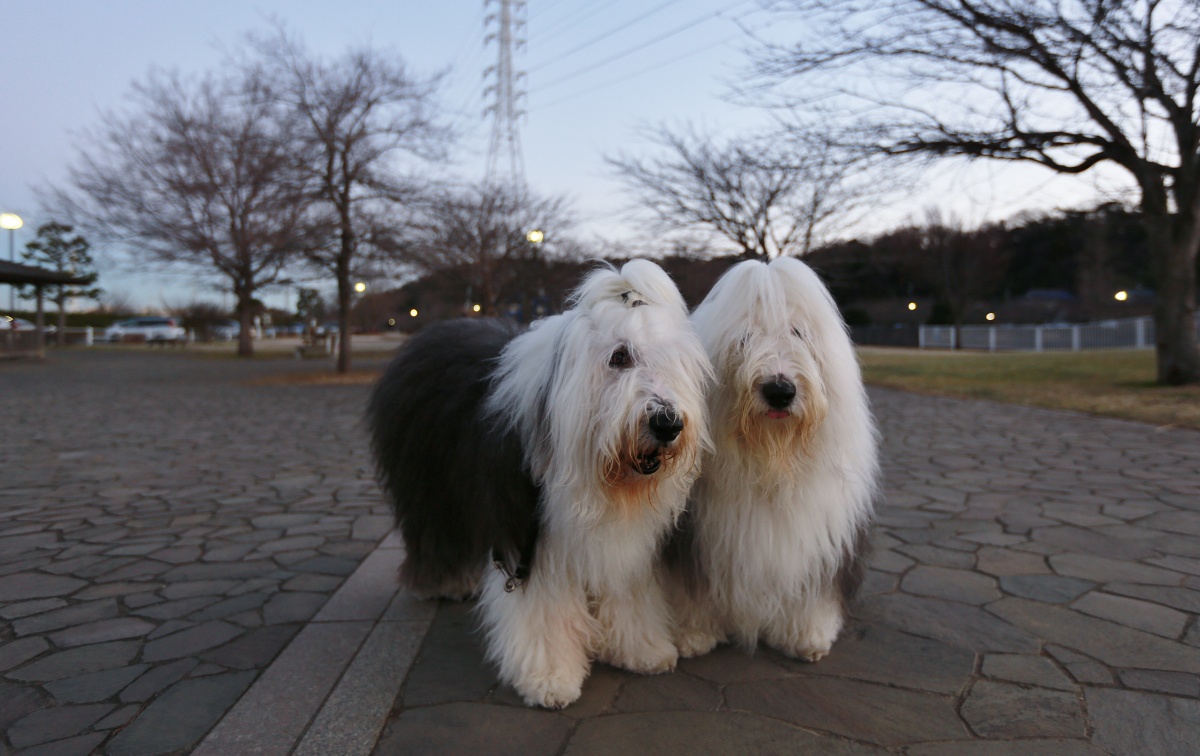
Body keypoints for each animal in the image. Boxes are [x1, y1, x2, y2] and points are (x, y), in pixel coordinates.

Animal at [367, 259, 711, 708]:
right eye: (619, 356)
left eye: (670, 360)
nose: (667, 423)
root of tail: (425, 336)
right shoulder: (528, 536)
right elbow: (542, 607)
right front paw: (549, 678)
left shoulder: (622, 545)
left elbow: (627, 591)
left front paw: (642, 650)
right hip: (430, 486)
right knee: (435, 532)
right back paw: (442, 583)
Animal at [665, 256, 878, 663]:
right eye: (744, 339)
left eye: (799, 333)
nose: (780, 390)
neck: (771, 460)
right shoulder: (696, 537)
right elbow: (689, 588)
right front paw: (693, 634)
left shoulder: (818, 537)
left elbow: (812, 588)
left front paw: (808, 634)